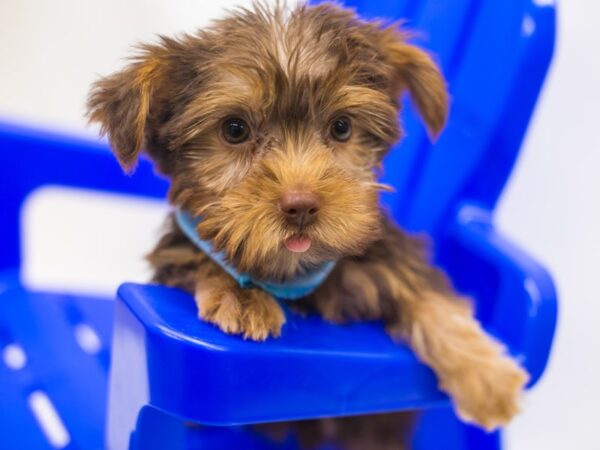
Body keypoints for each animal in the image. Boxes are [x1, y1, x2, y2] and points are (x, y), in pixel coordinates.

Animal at [86, 0, 528, 446]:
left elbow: (428, 294)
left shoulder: (391, 259)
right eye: (234, 129)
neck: (296, 272)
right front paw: (240, 294)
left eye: (342, 127)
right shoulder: (178, 252)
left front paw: (485, 377)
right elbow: (202, 256)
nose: (301, 205)